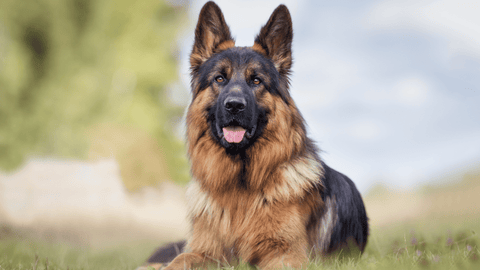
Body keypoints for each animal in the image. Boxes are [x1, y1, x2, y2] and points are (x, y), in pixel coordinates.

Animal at [142, 1, 368, 268]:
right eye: (220, 78)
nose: (234, 106)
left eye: (256, 81)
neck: (240, 187)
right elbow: (179, 259)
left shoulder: (286, 254)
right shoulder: (205, 251)